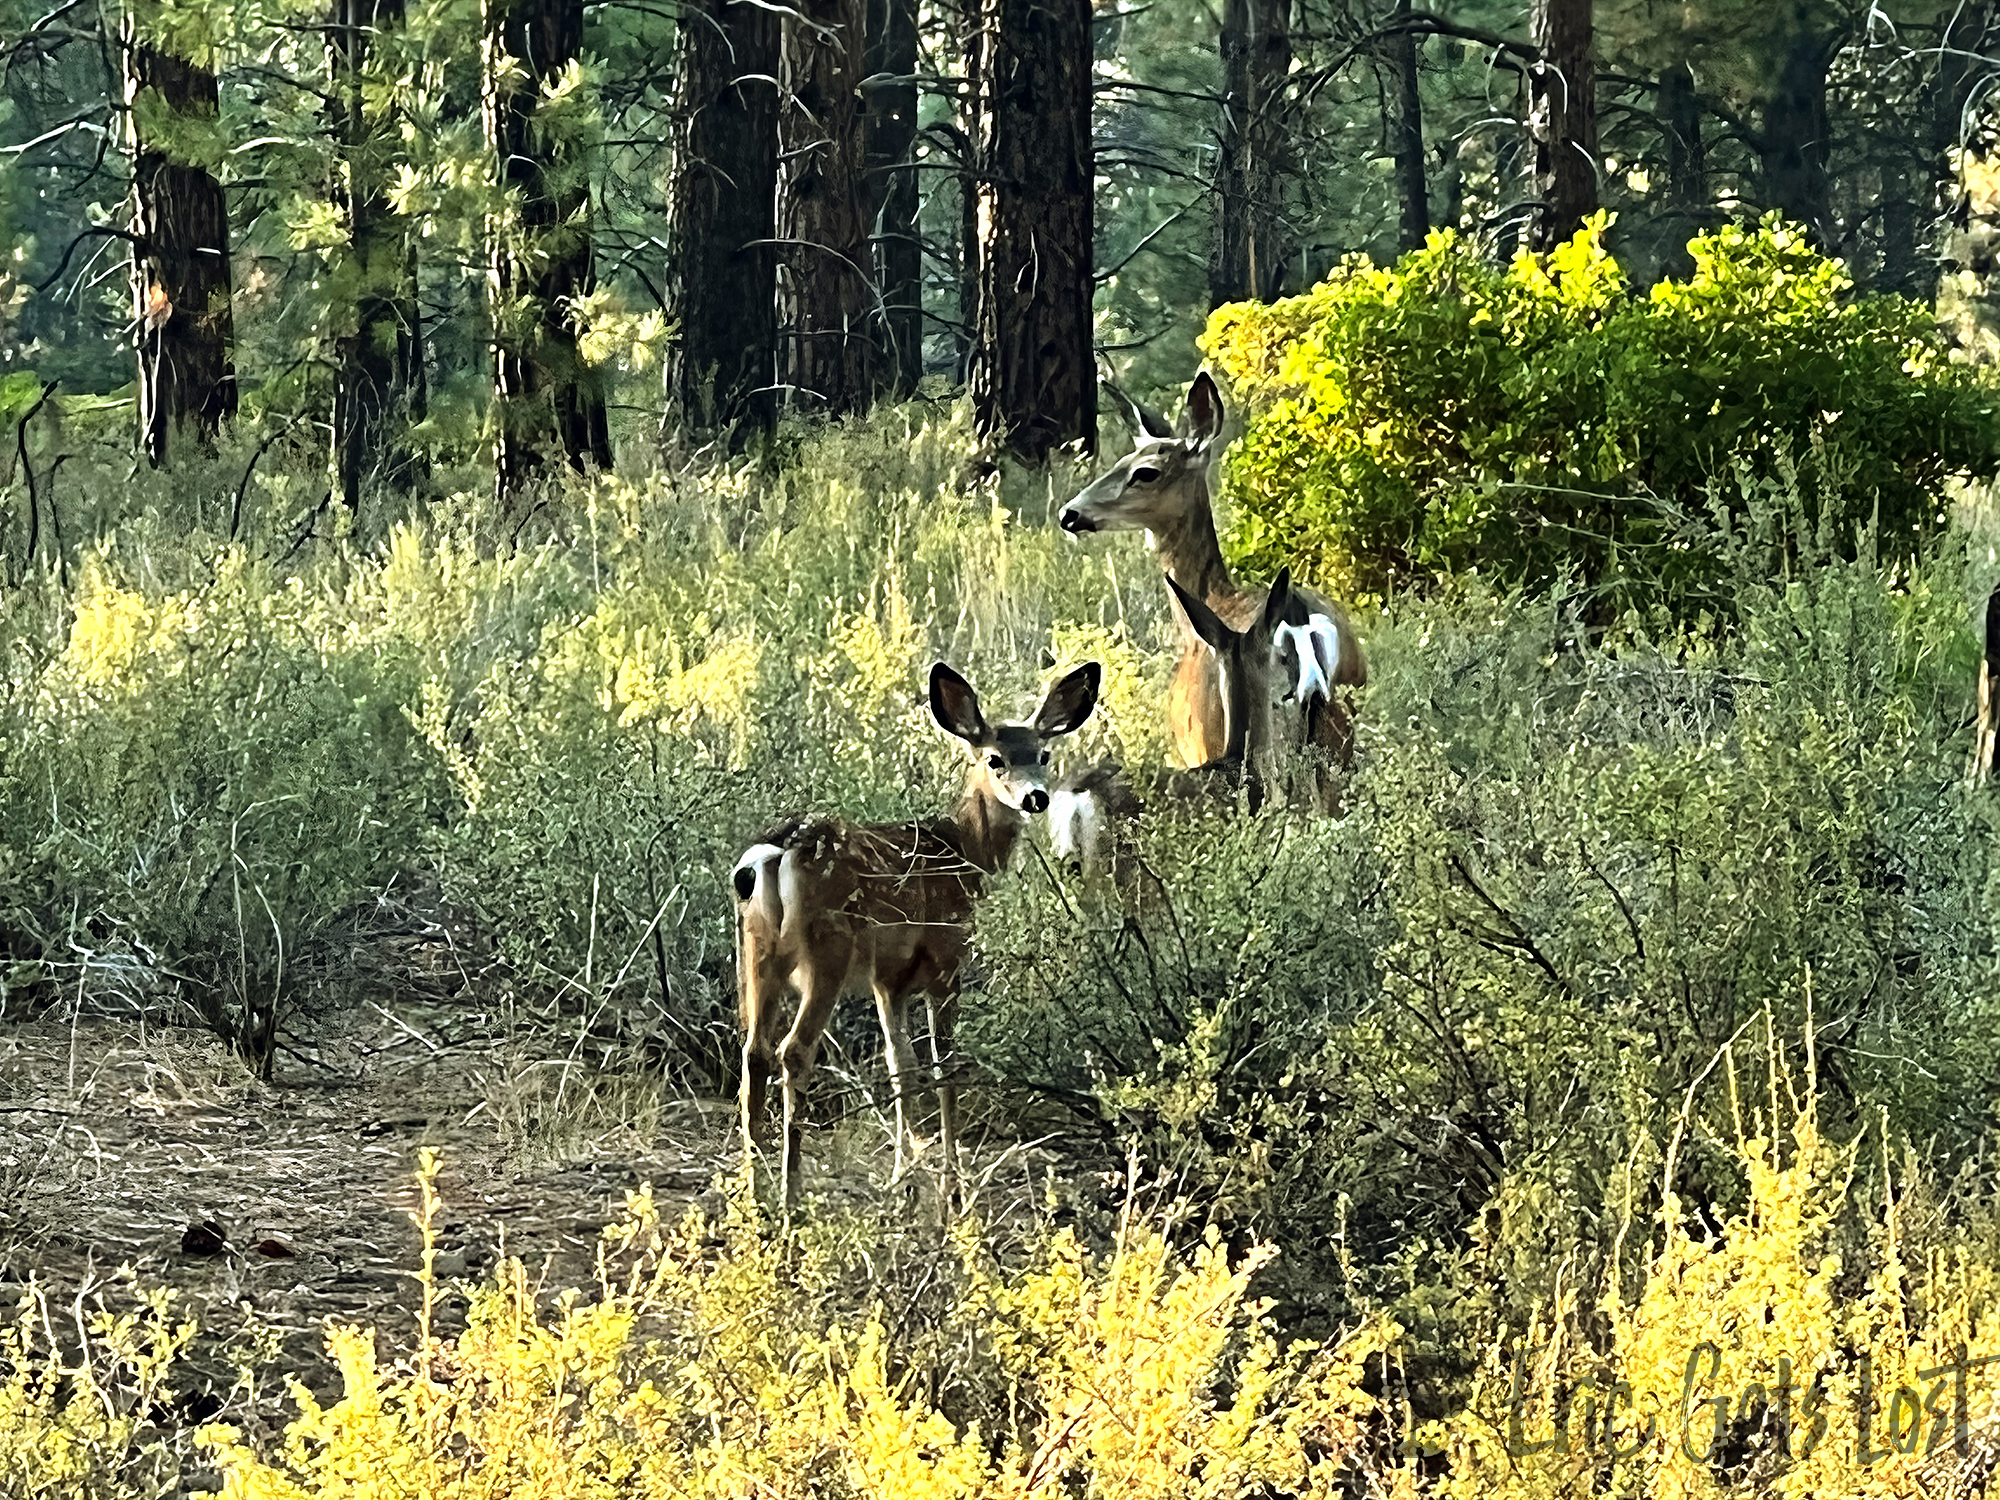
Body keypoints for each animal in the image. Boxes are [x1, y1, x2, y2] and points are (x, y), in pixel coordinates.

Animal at [736, 664, 1104, 1216]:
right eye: (995, 759)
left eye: (1043, 754)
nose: (1035, 798)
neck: (964, 853)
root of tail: (773, 856)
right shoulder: (946, 959)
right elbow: (945, 1065)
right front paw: (952, 1188)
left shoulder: (889, 979)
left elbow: (900, 1064)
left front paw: (904, 1181)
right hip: (828, 949)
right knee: (793, 1051)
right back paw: (789, 1195)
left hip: (758, 948)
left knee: (754, 1051)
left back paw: (750, 1193)